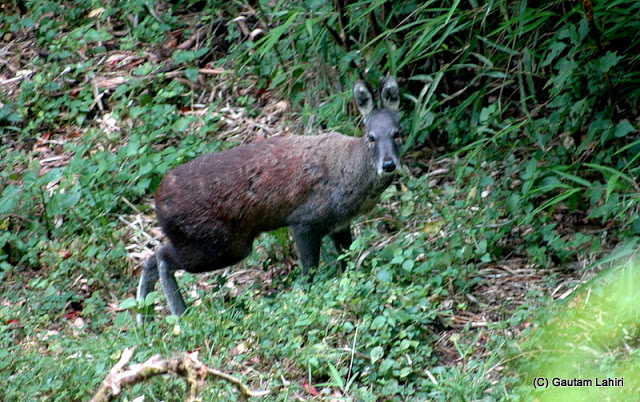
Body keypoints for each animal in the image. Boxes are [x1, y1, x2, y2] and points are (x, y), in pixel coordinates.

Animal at [136, 76, 402, 323]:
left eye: (398, 133)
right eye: (371, 137)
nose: (389, 164)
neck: (351, 175)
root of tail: (158, 199)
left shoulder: (340, 224)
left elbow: (346, 262)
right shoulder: (304, 220)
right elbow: (309, 271)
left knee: (150, 259)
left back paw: (145, 320)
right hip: (219, 243)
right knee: (161, 257)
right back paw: (179, 314)